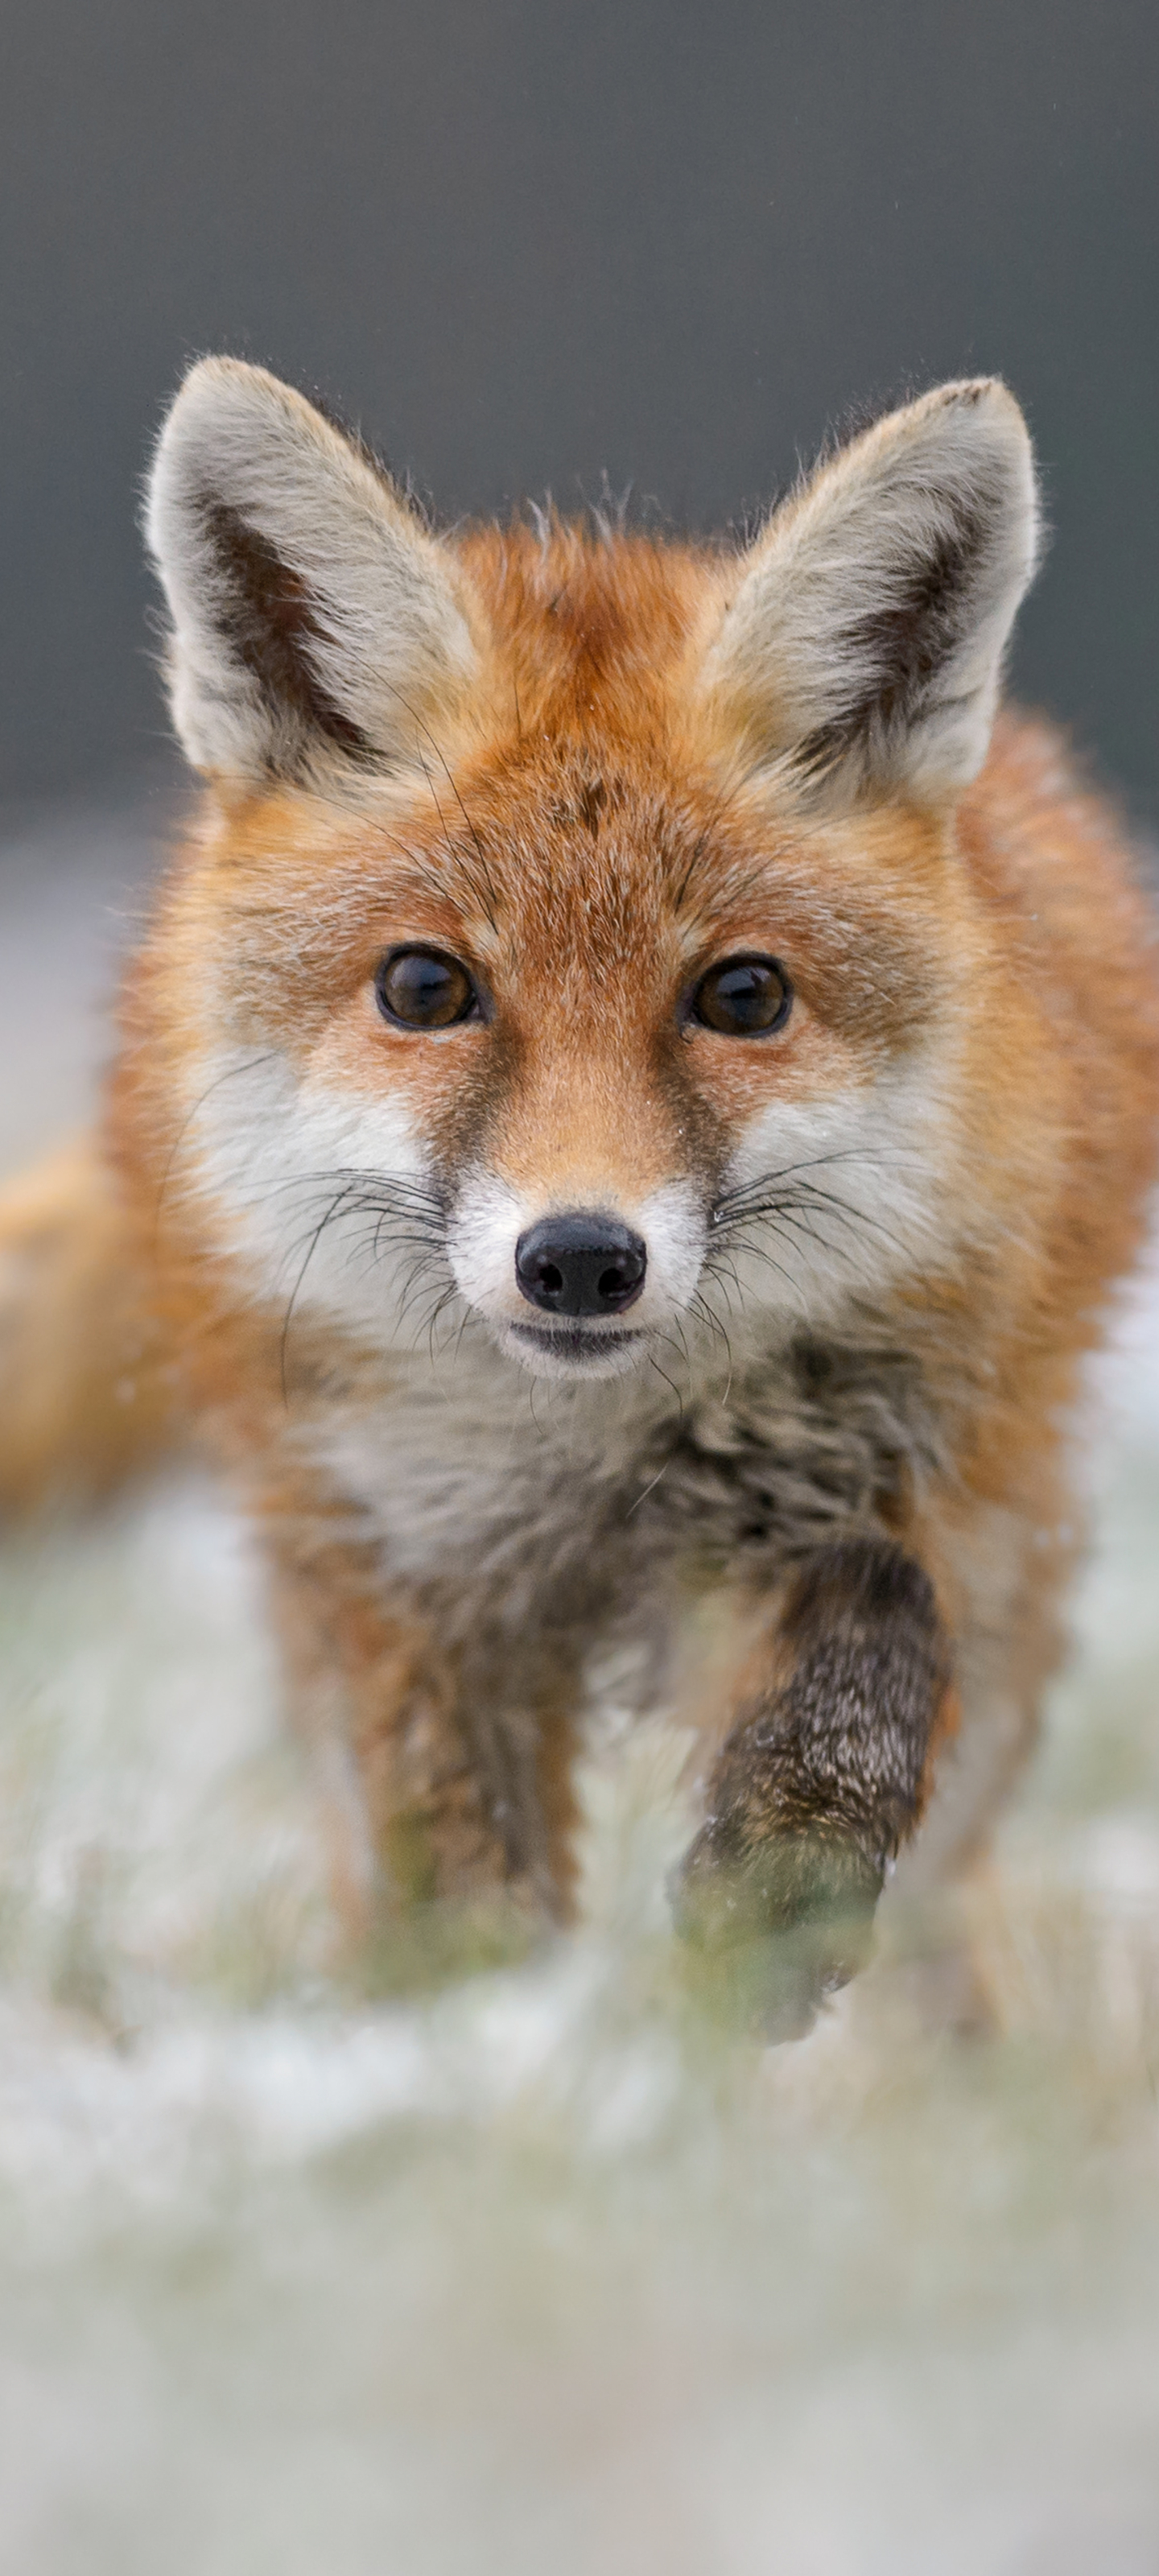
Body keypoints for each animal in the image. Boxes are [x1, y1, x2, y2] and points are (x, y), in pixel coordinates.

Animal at [0, 357, 1153, 2029]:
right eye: (427, 987)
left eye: (743, 996)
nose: (584, 1260)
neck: (591, 1465)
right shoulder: (402, 1573)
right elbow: (454, 1879)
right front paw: (475, 2036)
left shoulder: (899, 1474)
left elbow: (877, 1626)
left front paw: (772, 1897)